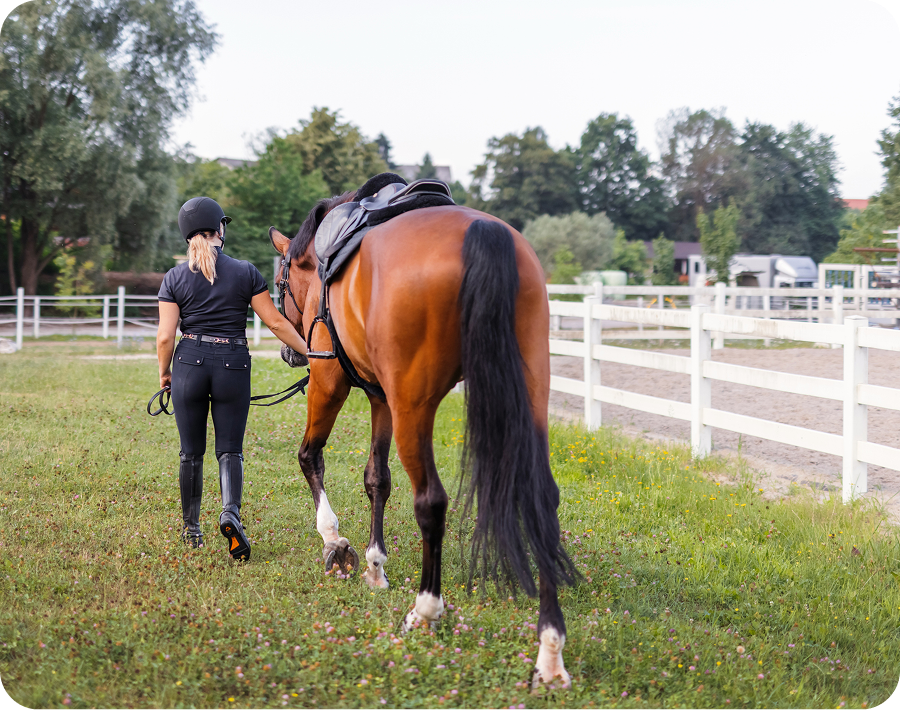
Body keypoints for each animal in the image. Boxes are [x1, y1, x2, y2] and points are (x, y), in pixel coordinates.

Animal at [268, 187, 577, 687]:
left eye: (280, 286)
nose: (289, 353)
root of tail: (481, 230)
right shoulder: (380, 398)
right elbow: (377, 479)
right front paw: (375, 566)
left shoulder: (331, 380)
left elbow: (309, 456)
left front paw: (335, 542)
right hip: (528, 392)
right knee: (540, 500)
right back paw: (550, 652)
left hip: (412, 404)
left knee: (430, 502)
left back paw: (426, 610)